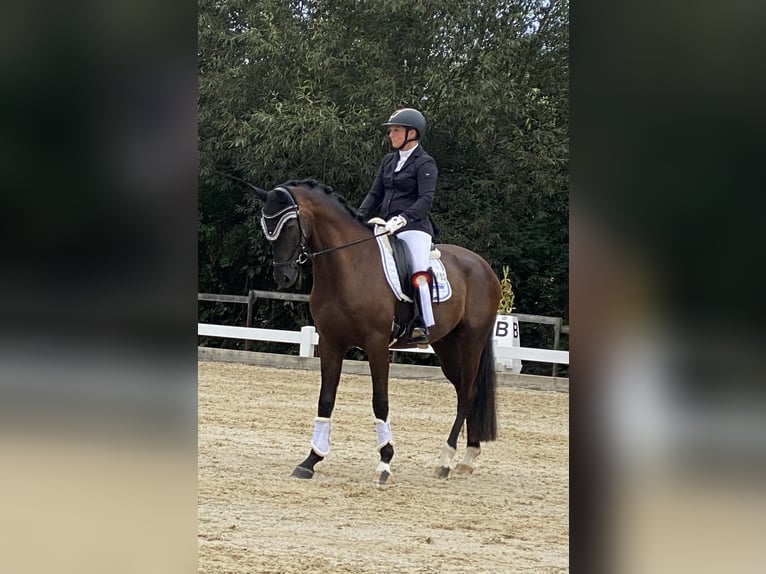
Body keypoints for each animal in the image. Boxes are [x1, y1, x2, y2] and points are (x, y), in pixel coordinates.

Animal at [252, 179, 504, 486]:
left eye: (288, 226)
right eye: (267, 229)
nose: (284, 277)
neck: (348, 265)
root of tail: (483, 266)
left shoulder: (377, 344)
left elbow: (380, 401)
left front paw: (384, 462)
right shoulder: (330, 343)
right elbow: (326, 399)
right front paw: (311, 460)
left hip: (470, 342)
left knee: (467, 393)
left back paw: (446, 460)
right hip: (447, 346)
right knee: (465, 392)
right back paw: (468, 457)